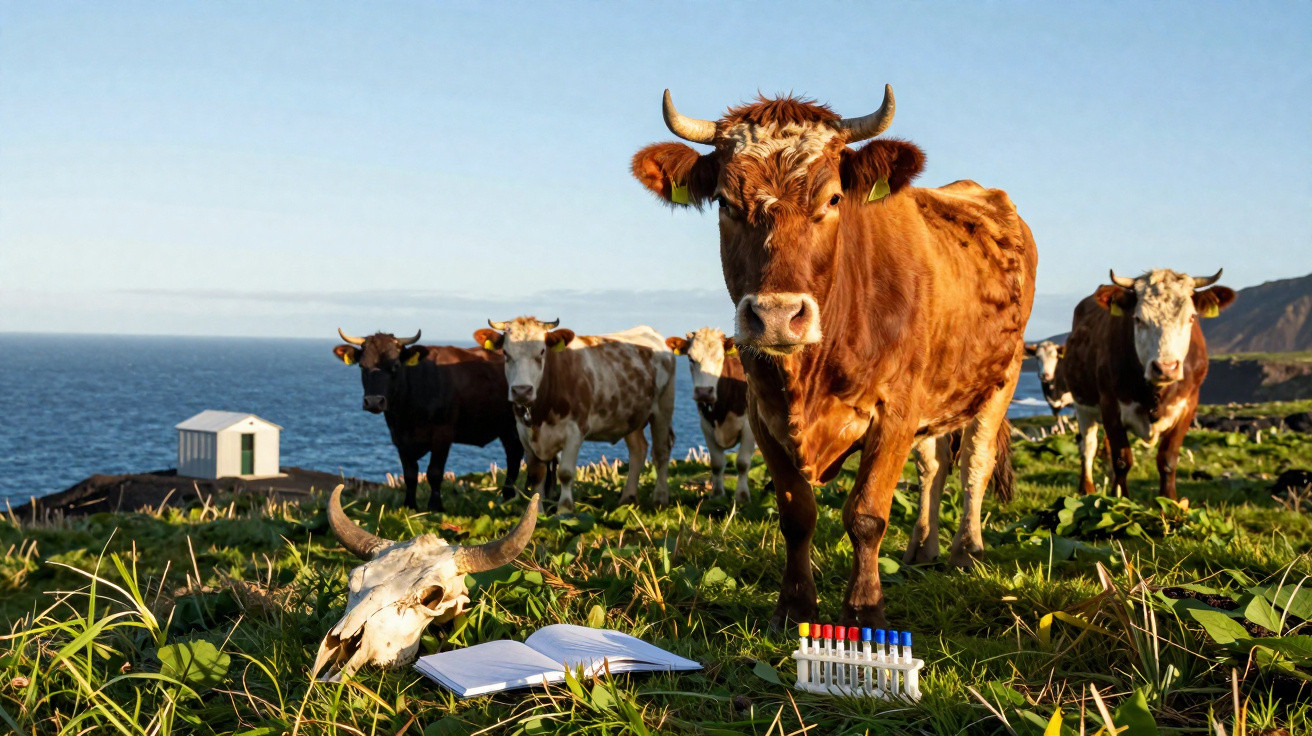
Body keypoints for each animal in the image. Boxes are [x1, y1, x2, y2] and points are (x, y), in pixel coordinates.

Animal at [333, 329, 524, 512]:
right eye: (362, 366)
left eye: (395, 366)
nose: (373, 401)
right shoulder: (399, 437)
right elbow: (410, 474)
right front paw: (409, 505)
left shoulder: (442, 433)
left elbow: (434, 472)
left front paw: (435, 506)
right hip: (506, 427)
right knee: (514, 455)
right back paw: (508, 495)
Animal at [474, 317, 677, 513]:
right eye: (505, 353)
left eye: (541, 351)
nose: (522, 391)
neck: (541, 414)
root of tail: (651, 332)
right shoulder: (524, 433)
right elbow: (536, 474)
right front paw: (537, 511)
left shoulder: (575, 430)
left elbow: (565, 473)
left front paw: (564, 509)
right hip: (630, 415)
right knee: (638, 450)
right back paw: (628, 498)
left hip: (664, 406)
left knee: (661, 451)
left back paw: (660, 498)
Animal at [666, 327, 755, 503]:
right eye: (690, 358)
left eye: (720, 357)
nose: (703, 392)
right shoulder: (706, 427)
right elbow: (717, 463)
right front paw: (717, 494)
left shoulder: (749, 427)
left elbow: (742, 463)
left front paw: (742, 496)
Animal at [1060, 269, 1235, 499]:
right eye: (1138, 319)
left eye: (1191, 317)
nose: (1165, 367)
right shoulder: (1110, 406)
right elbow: (1122, 459)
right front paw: (1121, 500)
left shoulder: (1187, 407)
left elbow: (1167, 459)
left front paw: (1169, 502)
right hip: (1082, 404)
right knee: (1087, 446)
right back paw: (1086, 489)